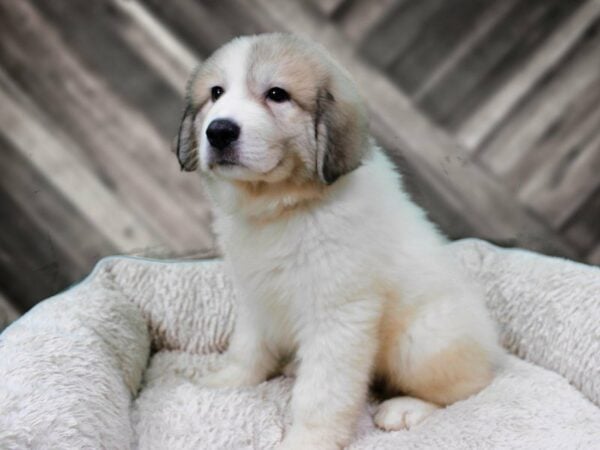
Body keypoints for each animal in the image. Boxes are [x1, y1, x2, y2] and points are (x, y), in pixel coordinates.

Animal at [176, 32, 504, 450]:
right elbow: (247, 348)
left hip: (421, 343)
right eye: (216, 93)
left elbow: (322, 392)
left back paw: (407, 409)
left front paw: (307, 440)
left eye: (277, 94)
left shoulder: (338, 315)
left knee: (471, 389)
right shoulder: (256, 295)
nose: (218, 131)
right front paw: (225, 382)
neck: (284, 208)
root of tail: (495, 349)